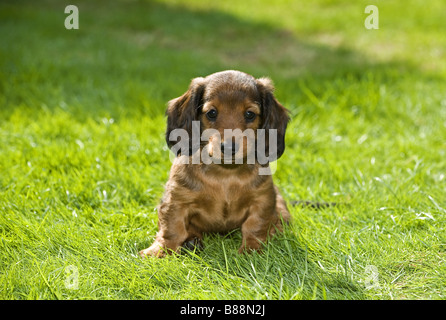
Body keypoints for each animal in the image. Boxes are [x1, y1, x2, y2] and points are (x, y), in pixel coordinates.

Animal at [140, 70, 292, 258]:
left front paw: (252, 250)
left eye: (250, 114)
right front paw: (161, 250)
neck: (225, 174)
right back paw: (192, 241)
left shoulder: (262, 199)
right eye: (212, 113)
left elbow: (255, 225)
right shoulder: (176, 200)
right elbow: (172, 228)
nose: (229, 148)